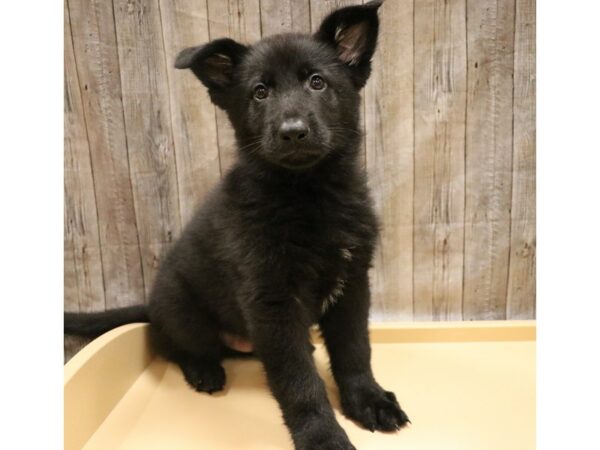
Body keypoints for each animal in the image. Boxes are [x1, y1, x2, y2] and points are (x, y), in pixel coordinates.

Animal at [68, 1, 410, 448]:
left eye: (317, 82)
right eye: (260, 92)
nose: (293, 132)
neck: (308, 194)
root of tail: (152, 303)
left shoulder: (351, 285)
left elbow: (355, 351)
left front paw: (369, 401)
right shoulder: (271, 302)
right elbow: (298, 382)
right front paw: (322, 435)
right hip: (183, 312)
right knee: (167, 340)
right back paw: (202, 369)